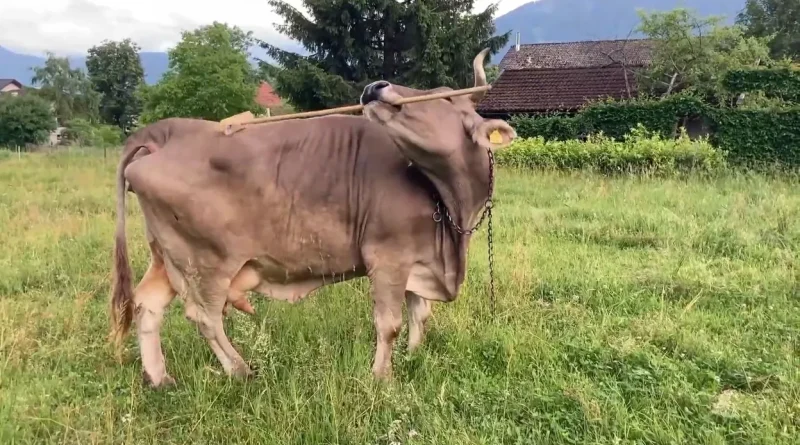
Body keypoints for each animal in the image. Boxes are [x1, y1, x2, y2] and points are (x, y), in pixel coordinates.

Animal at [109, 48, 517, 388]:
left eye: (446, 96)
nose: (375, 86)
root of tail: (169, 130)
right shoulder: (388, 256)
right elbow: (390, 324)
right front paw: (382, 379)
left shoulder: (422, 258)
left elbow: (420, 314)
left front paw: (414, 358)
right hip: (205, 261)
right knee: (203, 316)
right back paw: (241, 371)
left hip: (167, 255)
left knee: (148, 304)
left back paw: (160, 378)